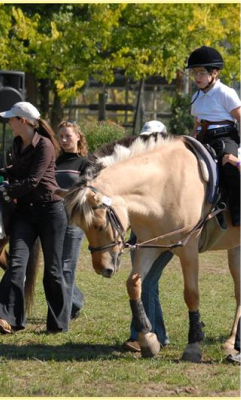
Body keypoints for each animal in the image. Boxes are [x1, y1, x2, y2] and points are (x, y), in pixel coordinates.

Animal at [57, 134, 241, 362]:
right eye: (83, 228)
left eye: (99, 225)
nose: (103, 269)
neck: (166, 183)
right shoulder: (149, 247)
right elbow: (134, 285)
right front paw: (148, 339)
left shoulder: (188, 249)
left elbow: (191, 294)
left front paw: (194, 345)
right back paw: (231, 343)